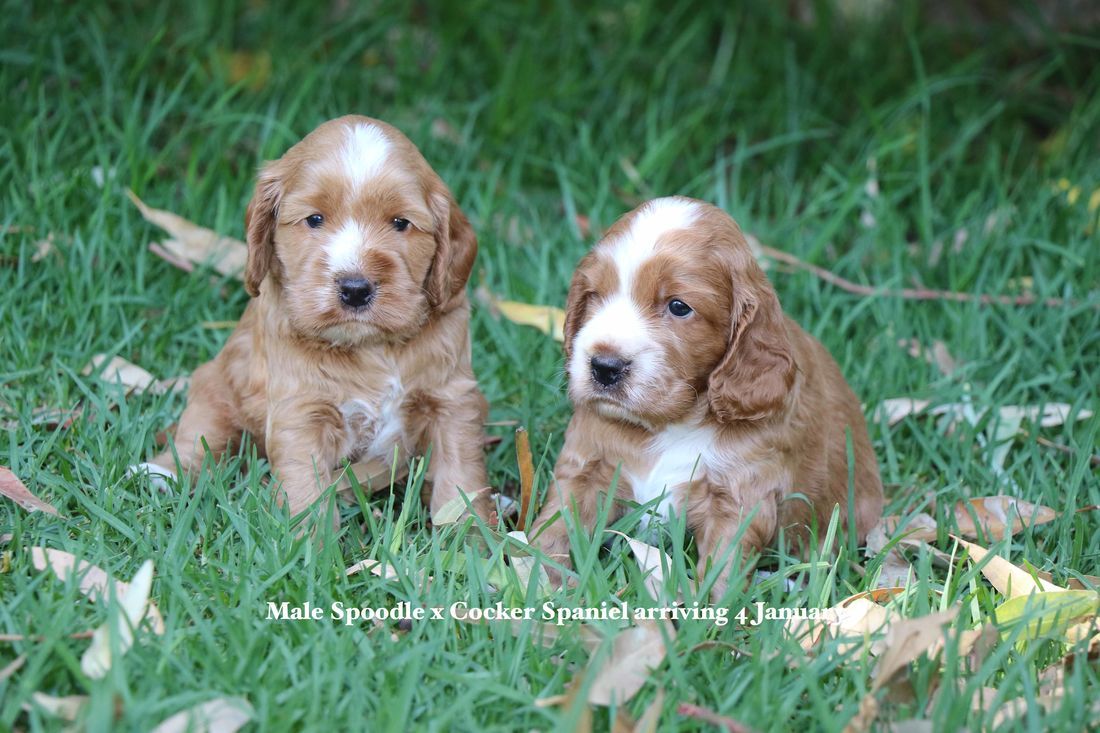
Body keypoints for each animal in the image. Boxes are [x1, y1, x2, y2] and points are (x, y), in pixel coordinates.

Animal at [129, 114, 490, 521]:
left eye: (400, 223)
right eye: (314, 219)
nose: (355, 288)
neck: (370, 346)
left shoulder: (452, 401)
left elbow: (461, 476)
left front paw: (472, 533)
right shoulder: (302, 411)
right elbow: (306, 488)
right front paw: (310, 538)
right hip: (213, 387)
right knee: (200, 439)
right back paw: (160, 473)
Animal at [532, 195, 884, 594]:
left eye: (679, 306)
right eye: (594, 296)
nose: (604, 367)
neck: (671, 423)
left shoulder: (740, 498)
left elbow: (723, 566)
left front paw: (708, 608)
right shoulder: (585, 465)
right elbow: (554, 525)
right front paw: (531, 575)